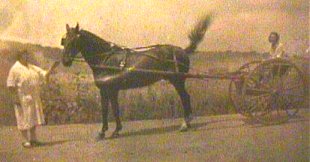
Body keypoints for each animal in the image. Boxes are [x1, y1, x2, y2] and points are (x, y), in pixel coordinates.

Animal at [60, 14, 211, 140]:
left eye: (74, 41)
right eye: (64, 40)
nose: (65, 61)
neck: (105, 58)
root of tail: (181, 51)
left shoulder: (106, 90)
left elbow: (105, 110)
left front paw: (102, 132)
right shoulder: (112, 90)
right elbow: (115, 109)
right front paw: (116, 130)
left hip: (177, 81)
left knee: (185, 98)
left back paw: (185, 124)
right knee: (186, 97)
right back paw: (188, 123)